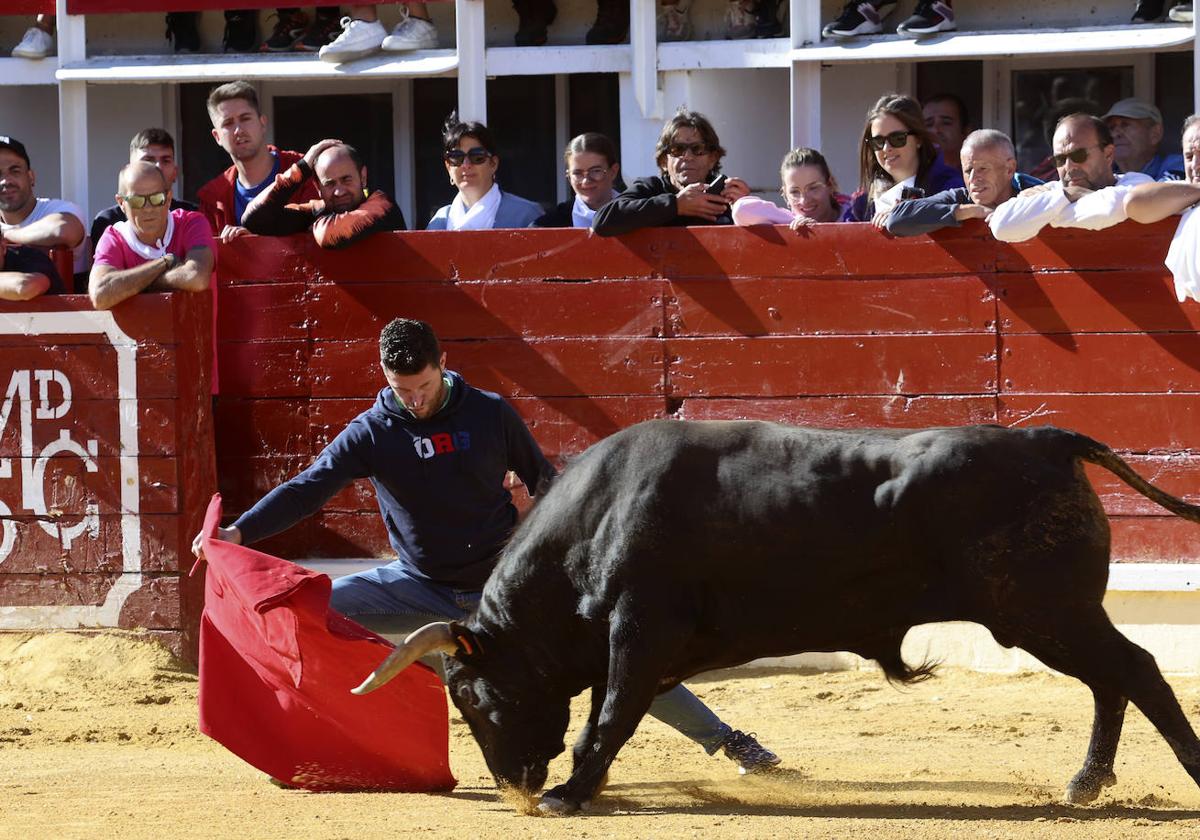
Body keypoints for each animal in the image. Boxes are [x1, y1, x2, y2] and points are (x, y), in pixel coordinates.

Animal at [350, 420, 1200, 816]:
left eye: (468, 694)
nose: (514, 789)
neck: (595, 521)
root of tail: (1046, 439)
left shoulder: (640, 629)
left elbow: (614, 713)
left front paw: (571, 793)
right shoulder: (641, 643)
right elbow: (612, 712)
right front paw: (579, 788)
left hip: (1043, 611)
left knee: (1135, 671)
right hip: (1053, 615)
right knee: (1113, 681)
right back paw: (1085, 782)